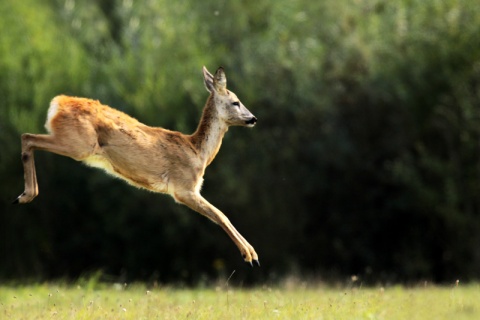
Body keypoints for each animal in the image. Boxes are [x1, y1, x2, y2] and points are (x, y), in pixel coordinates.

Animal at [15, 66, 260, 266]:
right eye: (236, 102)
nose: (253, 118)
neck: (198, 152)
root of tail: (57, 103)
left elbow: (220, 214)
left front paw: (251, 254)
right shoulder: (184, 188)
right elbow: (220, 214)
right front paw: (250, 255)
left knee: (27, 137)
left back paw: (25, 195)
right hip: (79, 144)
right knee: (27, 137)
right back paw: (26, 195)